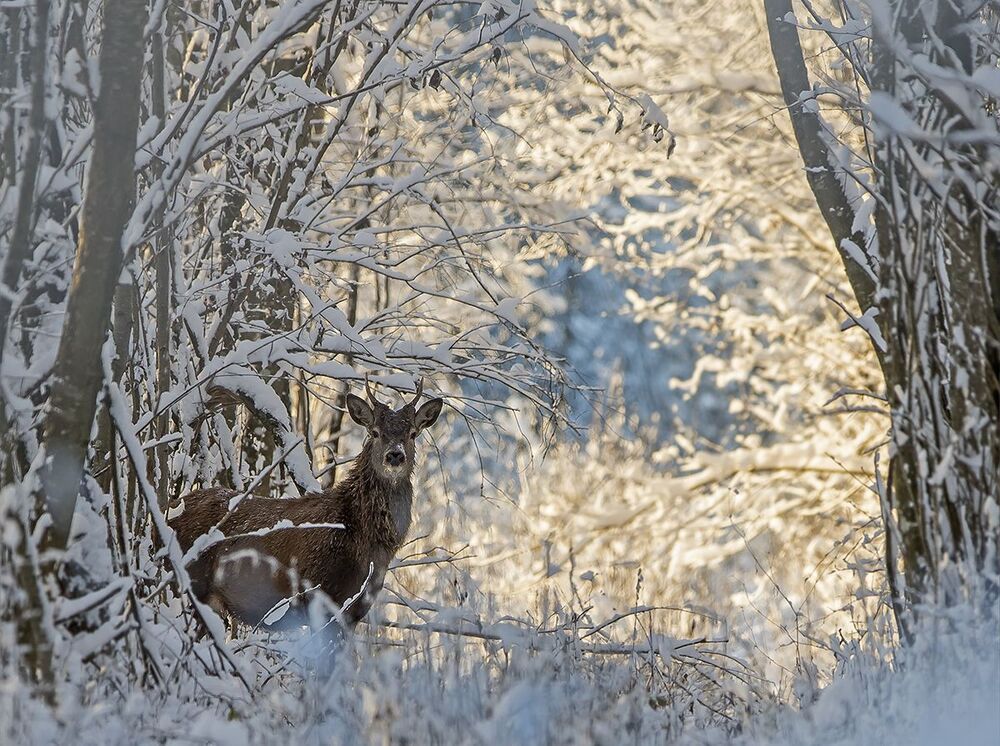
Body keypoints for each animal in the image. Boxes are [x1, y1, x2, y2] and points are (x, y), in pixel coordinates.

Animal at [166, 378, 442, 635]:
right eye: (374, 432)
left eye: (412, 433)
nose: (395, 455)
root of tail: (168, 513)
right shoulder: (320, 599)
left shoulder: (354, 611)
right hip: (187, 586)